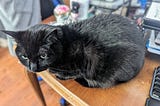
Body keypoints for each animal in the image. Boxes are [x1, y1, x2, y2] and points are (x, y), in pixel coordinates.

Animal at [1, 14, 146, 88]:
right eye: (24, 56)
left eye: (43, 55)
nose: (32, 67)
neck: (64, 44)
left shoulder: (82, 60)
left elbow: (73, 73)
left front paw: (60, 76)